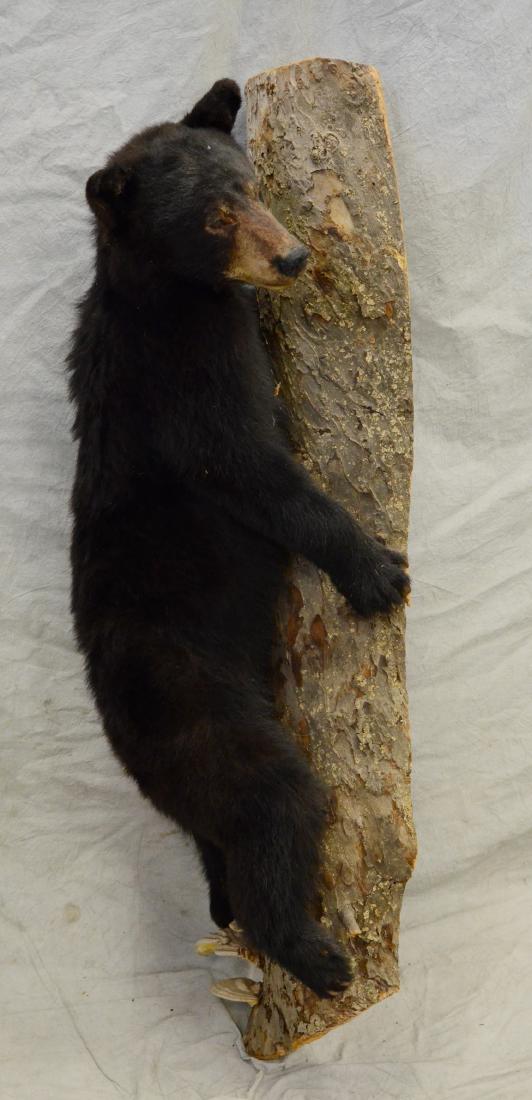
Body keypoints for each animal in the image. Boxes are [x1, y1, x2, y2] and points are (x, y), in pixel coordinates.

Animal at [67, 78, 410, 998]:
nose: (290, 258)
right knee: (271, 802)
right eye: (214, 218)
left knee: (215, 841)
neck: (170, 295)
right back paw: (312, 953)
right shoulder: (183, 379)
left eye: (251, 186)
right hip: (200, 713)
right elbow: (253, 470)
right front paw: (377, 571)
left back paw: (226, 906)